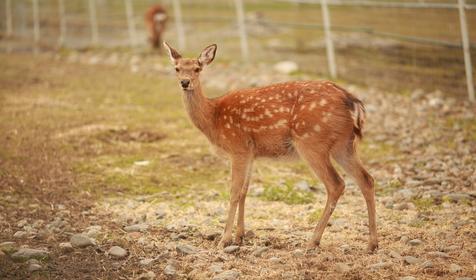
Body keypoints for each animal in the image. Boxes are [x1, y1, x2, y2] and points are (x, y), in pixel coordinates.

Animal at [164, 42, 380, 254]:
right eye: (177, 68)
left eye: (197, 68)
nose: (185, 82)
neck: (213, 117)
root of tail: (353, 103)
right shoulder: (251, 153)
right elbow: (244, 192)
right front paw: (240, 236)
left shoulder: (238, 147)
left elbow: (234, 192)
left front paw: (224, 240)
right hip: (343, 145)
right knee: (366, 179)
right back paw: (371, 244)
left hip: (312, 142)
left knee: (336, 184)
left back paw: (312, 242)